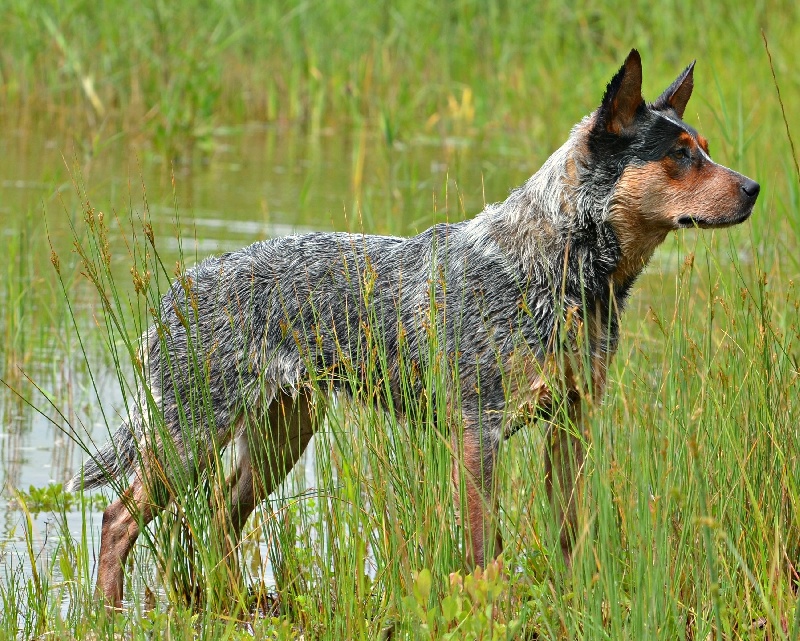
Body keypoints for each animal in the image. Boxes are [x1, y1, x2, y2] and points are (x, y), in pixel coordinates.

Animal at [67, 48, 756, 604]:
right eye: (680, 157)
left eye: (705, 149)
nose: (754, 188)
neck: (558, 269)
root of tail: (174, 293)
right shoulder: (479, 432)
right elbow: (483, 554)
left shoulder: (572, 423)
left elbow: (570, 534)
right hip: (189, 435)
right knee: (118, 518)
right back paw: (110, 613)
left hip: (281, 437)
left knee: (218, 517)